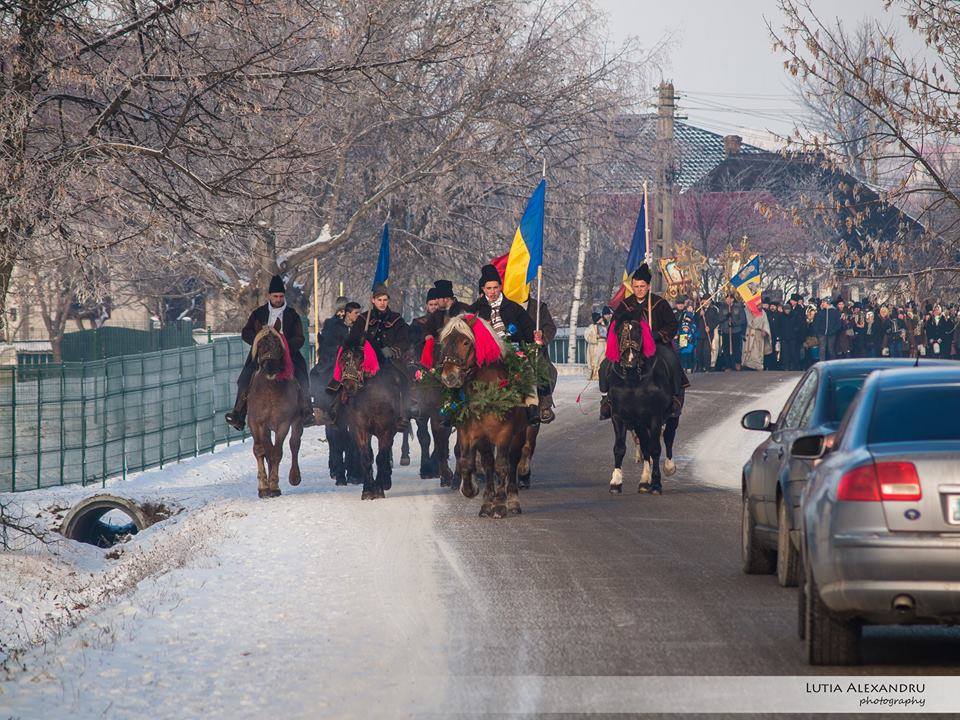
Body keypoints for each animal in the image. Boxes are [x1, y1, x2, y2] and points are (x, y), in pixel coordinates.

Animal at [248, 324, 304, 498]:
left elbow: (277, 452)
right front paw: (263, 487)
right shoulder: (258, 423)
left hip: (297, 422)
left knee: (294, 443)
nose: (271, 368)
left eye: (279, 346)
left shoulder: (283, 424)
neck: (270, 390)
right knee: (266, 449)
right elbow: (261, 450)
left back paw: (294, 477)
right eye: (260, 345)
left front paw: (274, 486)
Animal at [336, 338, 404, 498]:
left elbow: (381, 457)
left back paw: (385, 481)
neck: (371, 397)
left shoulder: (386, 429)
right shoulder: (360, 429)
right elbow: (366, 457)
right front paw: (368, 490)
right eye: (342, 359)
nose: (348, 386)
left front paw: (378, 488)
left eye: (360, 358)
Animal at [438, 316, 528, 516]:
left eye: (465, 342)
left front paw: (500, 504)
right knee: (489, 462)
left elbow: (502, 466)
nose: (449, 376)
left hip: (520, 433)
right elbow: (470, 462)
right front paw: (474, 492)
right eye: (444, 342)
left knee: (513, 460)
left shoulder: (504, 432)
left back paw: (513, 500)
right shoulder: (472, 433)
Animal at [608, 320, 676, 496]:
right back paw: (644, 481)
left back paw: (669, 467)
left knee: (668, 437)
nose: (629, 360)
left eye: (640, 334)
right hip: (639, 424)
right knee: (645, 446)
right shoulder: (619, 416)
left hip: (672, 415)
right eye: (620, 333)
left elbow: (656, 448)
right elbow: (620, 448)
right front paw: (616, 482)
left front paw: (657, 484)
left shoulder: (655, 416)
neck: (633, 380)